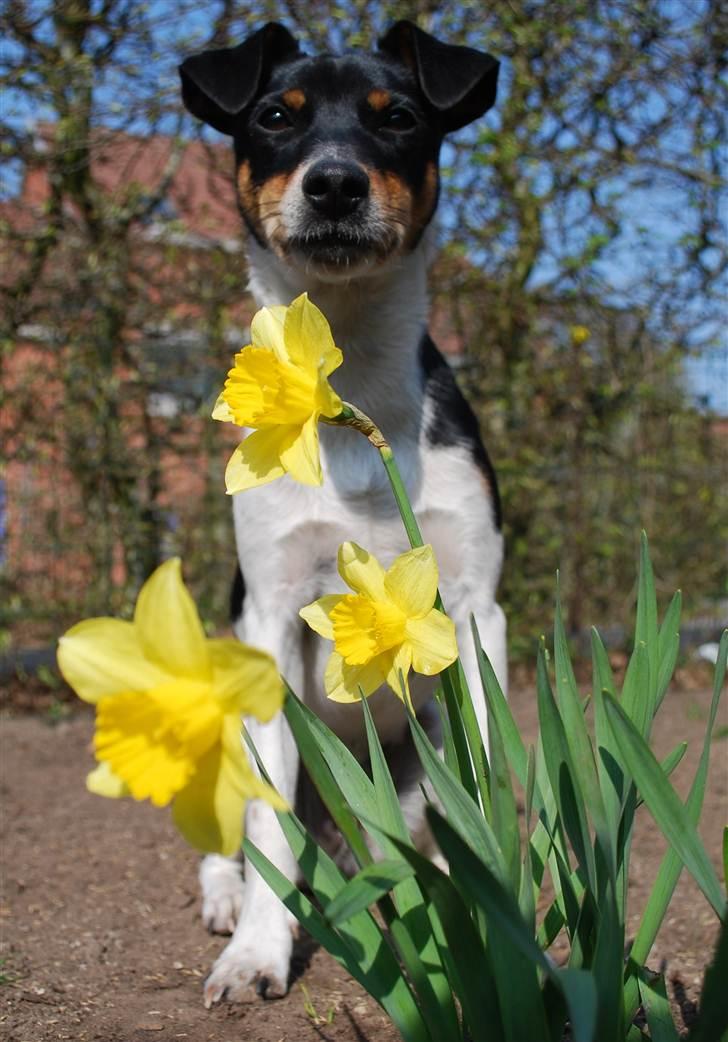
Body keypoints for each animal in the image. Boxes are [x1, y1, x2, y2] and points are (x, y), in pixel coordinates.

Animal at [178, 20, 506, 1004]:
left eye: (395, 117)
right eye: (275, 117)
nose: (334, 183)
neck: (346, 383)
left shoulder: (473, 611)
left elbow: (487, 784)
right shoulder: (273, 616)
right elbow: (267, 831)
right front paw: (257, 951)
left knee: (408, 825)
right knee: (240, 836)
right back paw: (230, 898)